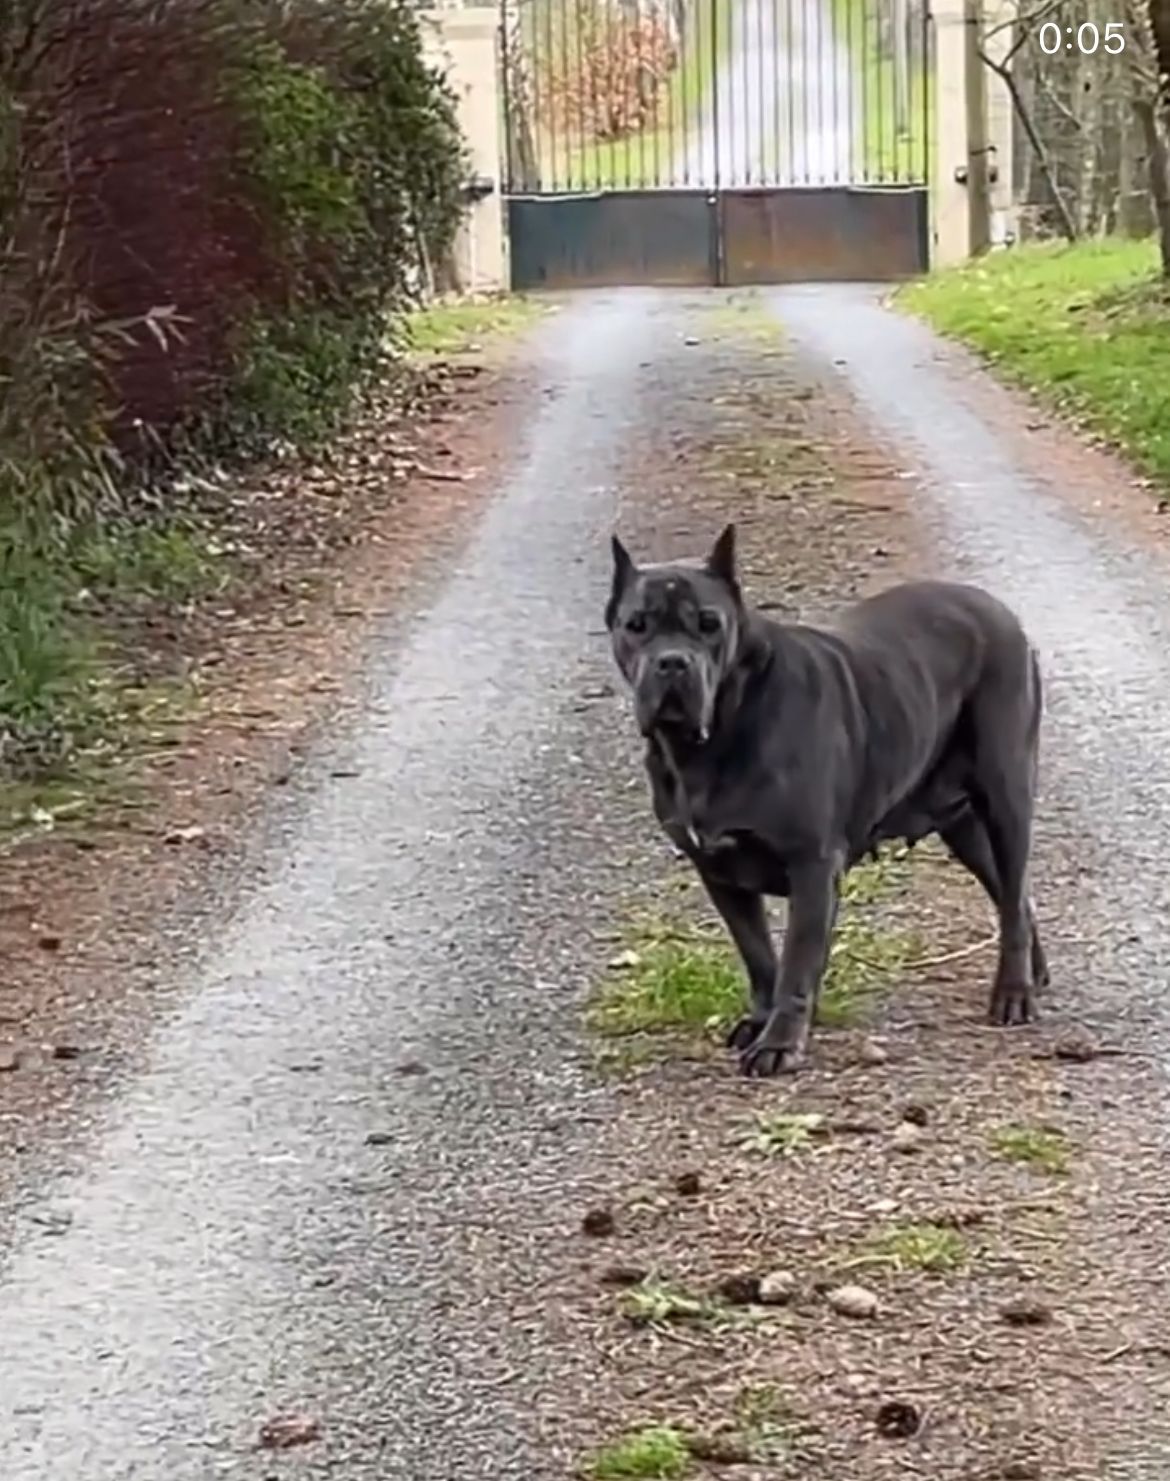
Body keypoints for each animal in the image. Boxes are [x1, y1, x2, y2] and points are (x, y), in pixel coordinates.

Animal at [610, 524, 1048, 1078]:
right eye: (636, 625)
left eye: (709, 623)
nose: (672, 662)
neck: (717, 731)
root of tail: (1001, 611)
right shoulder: (719, 872)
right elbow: (758, 955)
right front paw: (761, 1021)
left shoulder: (812, 865)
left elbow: (797, 961)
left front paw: (780, 1043)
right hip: (962, 823)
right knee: (1015, 894)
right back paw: (1035, 973)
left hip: (1006, 795)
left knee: (1012, 894)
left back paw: (1013, 994)